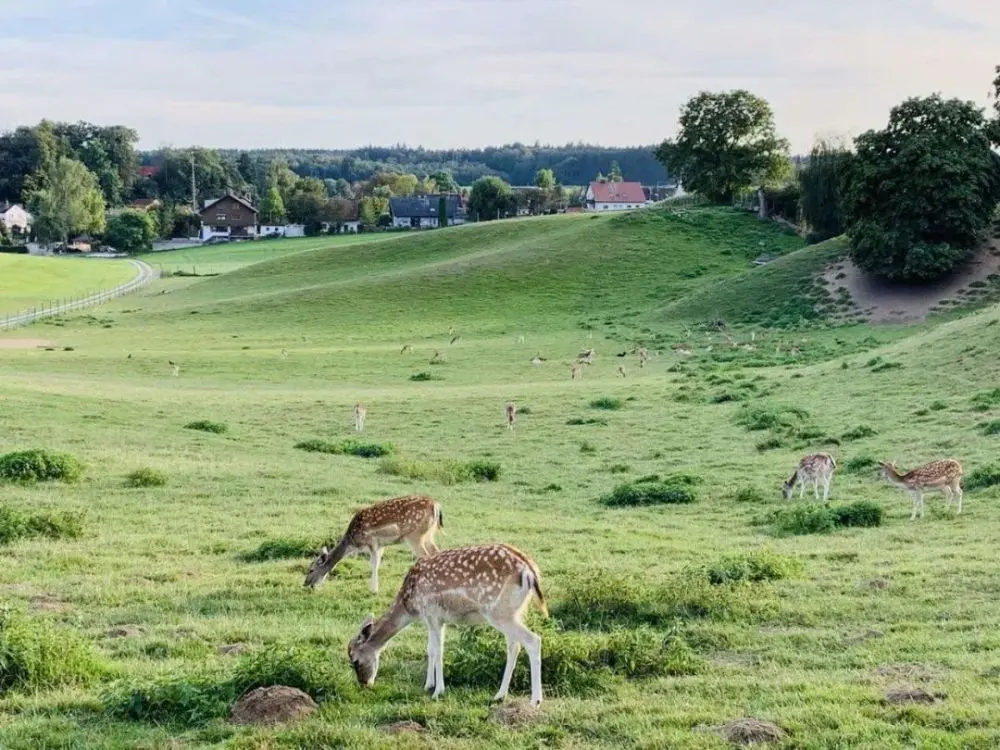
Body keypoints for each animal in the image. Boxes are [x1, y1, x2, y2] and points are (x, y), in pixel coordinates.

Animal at [302, 496, 444, 596]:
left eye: (311, 569)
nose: (306, 584)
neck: (353, 542)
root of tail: (436, 506)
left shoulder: (372, 542)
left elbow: (374, 564)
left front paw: (374, 590)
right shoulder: (381, 545)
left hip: (415, 535)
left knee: (424, 555)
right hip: (428, 534)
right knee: (436, 552)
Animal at [344, 544, 548, 708]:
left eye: (355, 660)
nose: (365, 684)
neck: (410, 605)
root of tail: (530, 571)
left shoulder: (433, 614)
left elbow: (439, 650)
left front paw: (438, 691)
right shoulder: (433, 619)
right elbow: (430, 649)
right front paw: (428, 685)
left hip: (499, 613)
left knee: (533, 640)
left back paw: (535, 700)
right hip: (515, 611)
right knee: (514, 645)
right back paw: (500, 695)